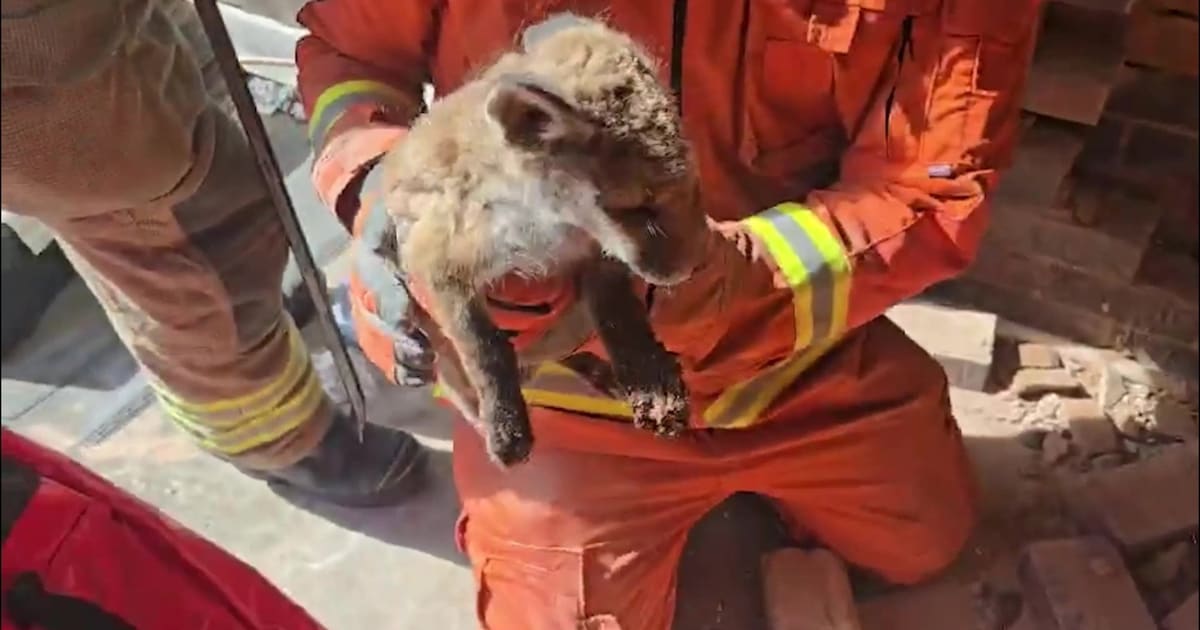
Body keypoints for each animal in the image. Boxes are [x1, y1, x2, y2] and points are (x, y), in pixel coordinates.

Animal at [377, 15, 709, 467]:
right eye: (636, 207)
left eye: (691, 183)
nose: (693, 266)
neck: (544, 231)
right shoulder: (436, 263)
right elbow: (487, 349)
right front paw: (505, 427)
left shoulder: (595, 257)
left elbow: (619, 315)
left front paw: (651, 381)